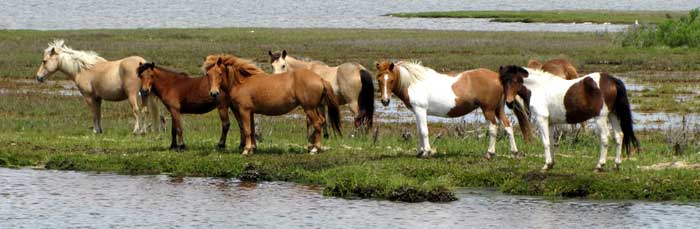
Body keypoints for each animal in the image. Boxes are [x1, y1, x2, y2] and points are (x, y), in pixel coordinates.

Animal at [202, 52, 342, 155]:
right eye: (208, 74)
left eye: (220, 73)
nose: (214, 93)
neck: (242, 82)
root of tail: (320, 78)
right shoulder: (251, 112)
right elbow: (252, 130)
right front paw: (252, 148)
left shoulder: (244, 110)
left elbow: (246, 130)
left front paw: (246, 150)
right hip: (314, 107)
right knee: (322, 121)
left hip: (309, 108)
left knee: (317, 123)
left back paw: (315, 148)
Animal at [378, 60, 532, 158]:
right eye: (379, 80)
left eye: (391, 80)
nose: (385, 101)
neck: (414, 82)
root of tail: (498, 78)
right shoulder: (417, 112)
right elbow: (419, 131)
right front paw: (420, 151)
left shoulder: (420, 110)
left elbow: (424, 131)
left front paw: (426, 152)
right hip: (498, 109)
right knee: (507, 126)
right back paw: (514, 152)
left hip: (488, 110)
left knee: (493, 127)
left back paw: (489, 153)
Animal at [498, 65, 640, 171]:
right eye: (503, 82)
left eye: (515, 80)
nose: (509, 103)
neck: (538, 88)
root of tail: (611, 80)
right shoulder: (550, 122)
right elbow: (551, 142)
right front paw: (551, 164)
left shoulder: (541, 119)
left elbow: (545, 142)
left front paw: (546, 165)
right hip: (613, 115)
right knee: (619, 136)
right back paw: (616, 164)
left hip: (601, 117)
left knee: (605, 138)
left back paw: (599, 165)